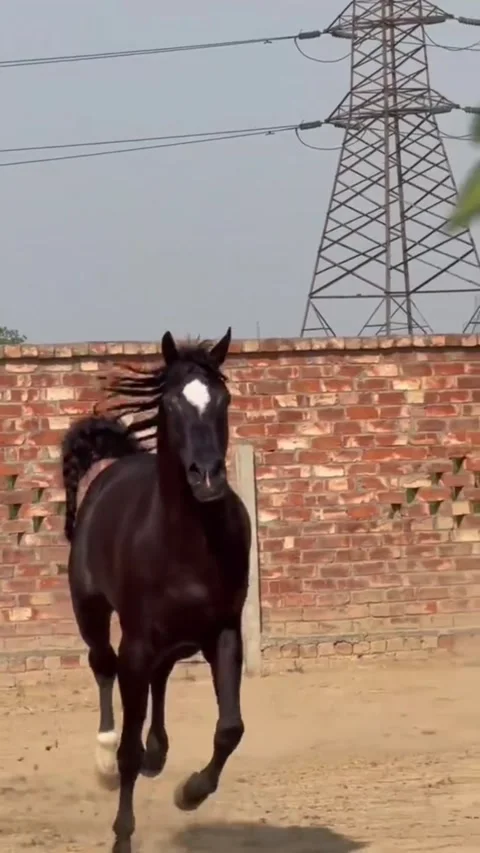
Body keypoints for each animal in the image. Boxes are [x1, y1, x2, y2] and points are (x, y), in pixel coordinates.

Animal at [60, 328, 251, 853]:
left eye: (224, 399)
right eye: (171, 403)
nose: (207, 477)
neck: (185, 541)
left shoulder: (224, 632)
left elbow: (230, 728)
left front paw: (191, 792)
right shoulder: (137, 642)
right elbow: (126, 744)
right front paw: (122, 835)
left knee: (160, 678)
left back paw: (158, 754)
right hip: (92, 612)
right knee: (103, 666)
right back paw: (106, 758)